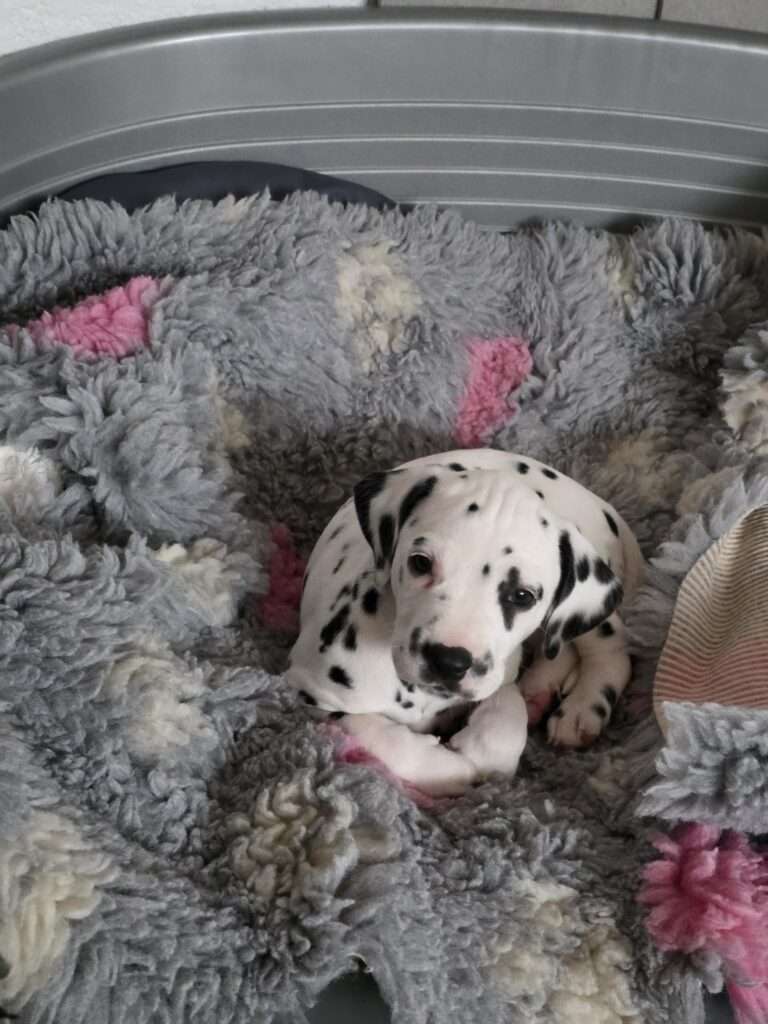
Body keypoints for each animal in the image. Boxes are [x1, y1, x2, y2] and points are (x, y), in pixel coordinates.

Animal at [286, 449, 644, 795]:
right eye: (420, 563)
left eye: (523, 595)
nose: (448, 661)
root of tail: (600, 504)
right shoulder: (309, 692)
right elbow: (374, 731)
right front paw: (448, 768)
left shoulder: (499, 678)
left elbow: (506, 724)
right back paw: (540, 690)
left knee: (609, 646)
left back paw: (583, 706)